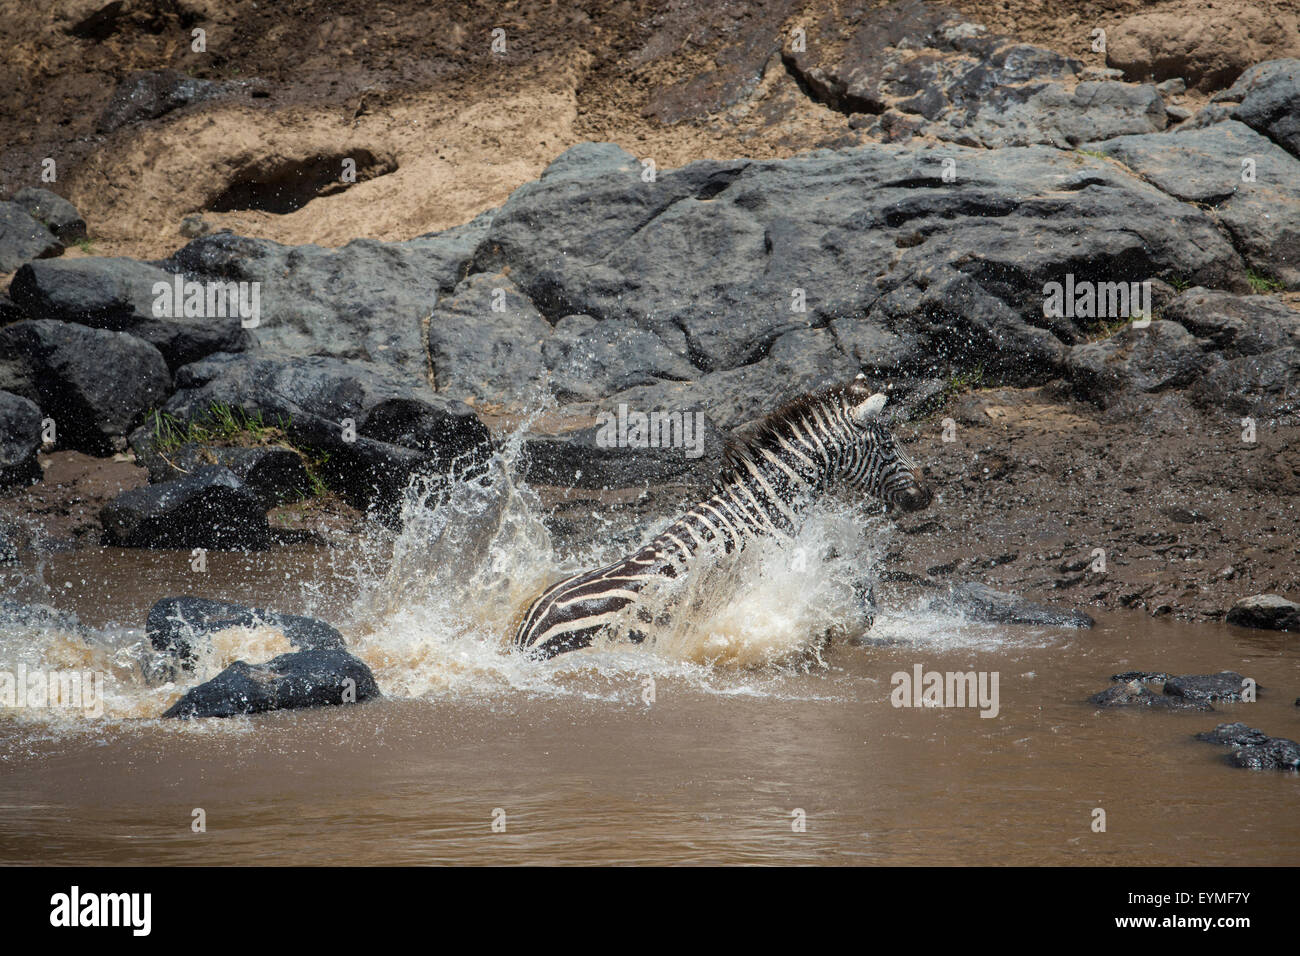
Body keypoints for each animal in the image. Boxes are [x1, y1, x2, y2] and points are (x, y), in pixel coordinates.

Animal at [512, 377, 930, 660]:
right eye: (889, 445)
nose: (925, 494)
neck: (764, 503)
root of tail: (526, 634)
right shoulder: (772, 568)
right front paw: (841, 626)